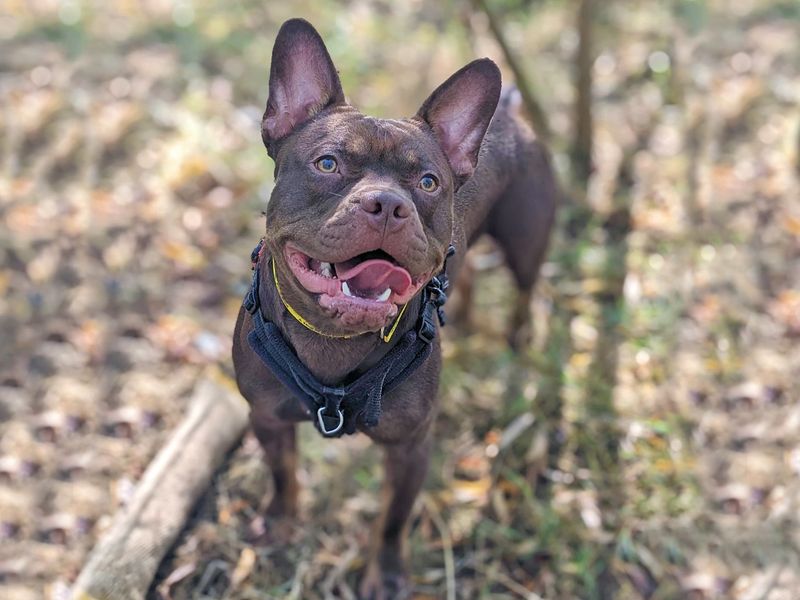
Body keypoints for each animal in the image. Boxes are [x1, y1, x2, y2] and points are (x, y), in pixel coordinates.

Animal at [231, 18, 556, 600]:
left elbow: (392, 518)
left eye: (427, 182)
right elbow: (283, 474)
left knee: (524, 291)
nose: (387, 203)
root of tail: (513, 112)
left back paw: (517, 342)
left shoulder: (410, 448)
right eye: (328, 164)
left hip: (526, 244)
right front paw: (281, 523)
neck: (332, 341)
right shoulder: (266, 418)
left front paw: (382, 575)